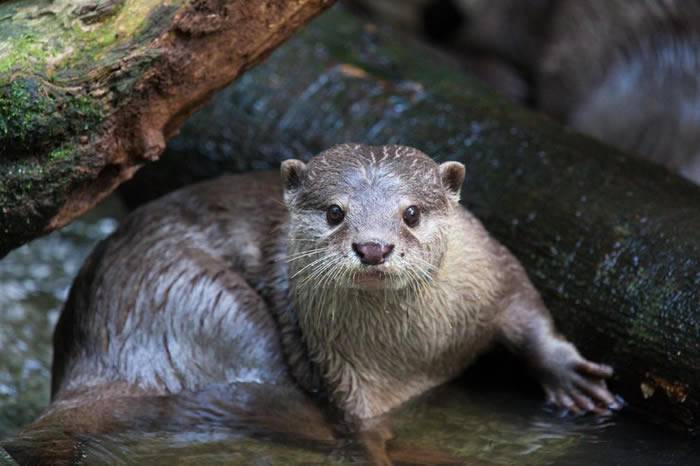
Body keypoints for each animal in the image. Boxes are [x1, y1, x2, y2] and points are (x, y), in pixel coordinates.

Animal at [50, 145, 616, 426]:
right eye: (334, 212)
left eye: (411, 212)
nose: (373, 247)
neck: (419, 353)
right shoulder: (346, 379)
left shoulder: (493, 268)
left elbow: (529, 311)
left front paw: (573, 378)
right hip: (198, 299)